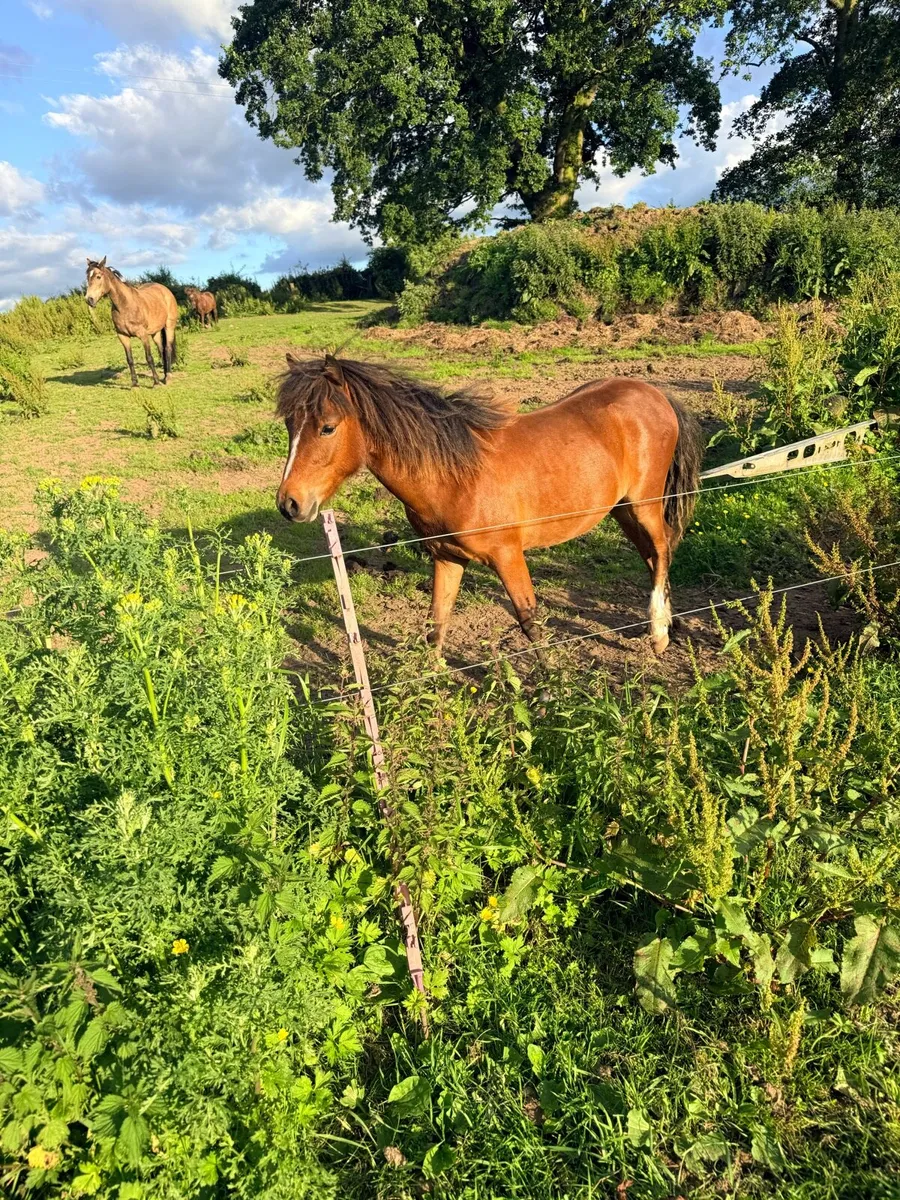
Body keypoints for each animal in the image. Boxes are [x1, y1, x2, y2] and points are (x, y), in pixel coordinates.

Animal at [85, 258, 178, 387]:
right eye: (87, 277)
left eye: (98, 276)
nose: (89, 299)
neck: (125, 305)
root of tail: (165, 289)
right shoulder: (122, 336)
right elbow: (129, 359)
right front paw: (135, 384)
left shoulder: (143, 335)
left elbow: (149, 357)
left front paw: (155, 383)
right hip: (155, 332)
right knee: (161, 350)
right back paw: (164, 376)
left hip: (169, 326)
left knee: (167, 348)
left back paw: (168, 377)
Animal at [275, 355, 703, 656]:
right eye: (289, 425)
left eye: (327, 427)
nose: (289, 503)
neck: (454, 476)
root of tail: (656, 394)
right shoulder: (447, 558)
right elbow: (436, 624)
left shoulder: (508, 556)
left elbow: (530, 623)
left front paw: (550, 694)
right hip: (622, 509)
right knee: (652, 557)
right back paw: (669, 624)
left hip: (646, 503)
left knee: (661, 550)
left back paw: (658, 633)